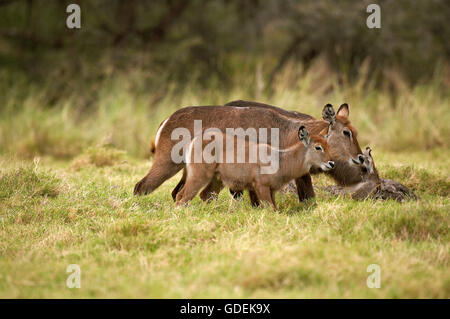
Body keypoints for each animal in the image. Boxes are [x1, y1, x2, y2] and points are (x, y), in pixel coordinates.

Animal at [176, 126, 334, 211]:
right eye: (318, 147)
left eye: (328, 145)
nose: (331, 163)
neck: (281, 160)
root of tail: (193, 141)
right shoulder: (261, 186)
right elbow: (271, 209)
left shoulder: (272, 190)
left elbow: (274, 208)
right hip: (199, 175)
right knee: (182, 196)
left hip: (217, 180)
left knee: (205, 195)